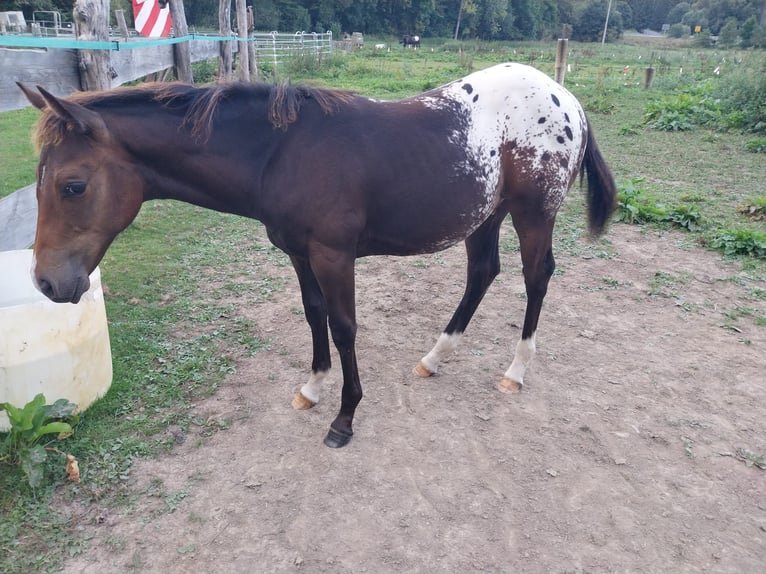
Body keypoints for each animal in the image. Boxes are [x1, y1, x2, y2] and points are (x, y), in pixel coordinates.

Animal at [18, 62, 616, 450]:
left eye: (72, 186)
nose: (47, 283)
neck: (280, 152)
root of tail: (567, 98)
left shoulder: (334, 255)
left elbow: (346, 327)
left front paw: (344, 418)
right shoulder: (298, 253)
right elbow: (315, 315)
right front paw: (311, 389)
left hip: (534, 213)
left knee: (536, 277)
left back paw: (516, 371)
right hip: (485, 215)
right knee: (482, 273)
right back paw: (434, 358)